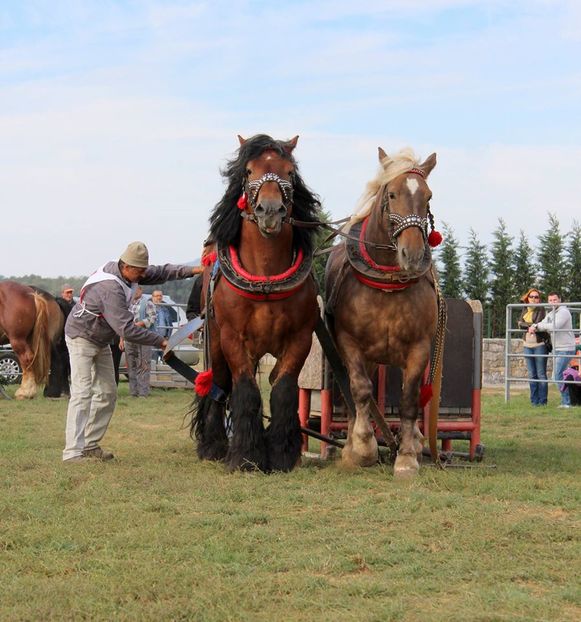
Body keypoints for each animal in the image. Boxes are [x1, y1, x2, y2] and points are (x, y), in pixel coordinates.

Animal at [190, 133, 320, 472]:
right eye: (249, 171)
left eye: (289, 172)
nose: (270, 212)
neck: (266, 278)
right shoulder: (233, 339)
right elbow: (246, 391)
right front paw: (246, 456)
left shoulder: (300, 339)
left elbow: (283, 389)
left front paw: (281, 453)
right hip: (215, 342)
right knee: (219, 386)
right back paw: (213, 444)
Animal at [324, 149, 442, 480]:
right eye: (392, 194)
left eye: (428, 196)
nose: (412, 255)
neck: (387, 283)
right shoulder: (348, 343)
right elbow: (361, 390)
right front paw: (362, 447)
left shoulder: (419, 347)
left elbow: (409, 398)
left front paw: (407, 456)